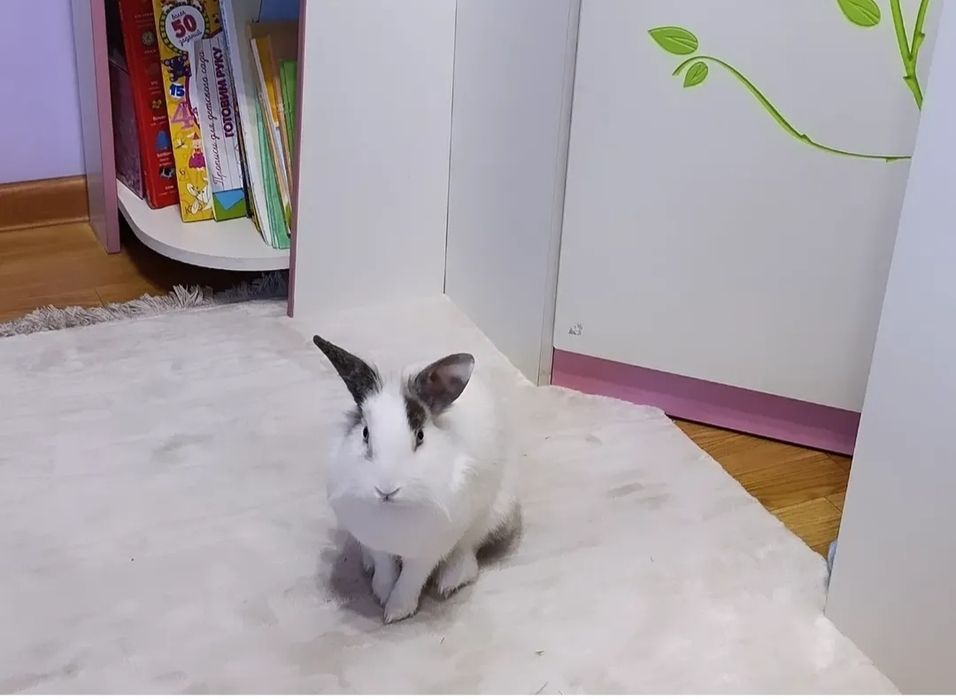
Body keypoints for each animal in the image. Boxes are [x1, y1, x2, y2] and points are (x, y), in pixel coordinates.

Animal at [313, 334, 518, 623]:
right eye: (365, 433)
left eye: (420, 436)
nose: (386, 489)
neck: (394, 511)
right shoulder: (376, 541)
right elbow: (385, 567)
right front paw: (382, 593)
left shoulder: (428, 549)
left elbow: (411, 578)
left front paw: (396, 611)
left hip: (493, 515)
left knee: (468, 550)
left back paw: (450, 580)